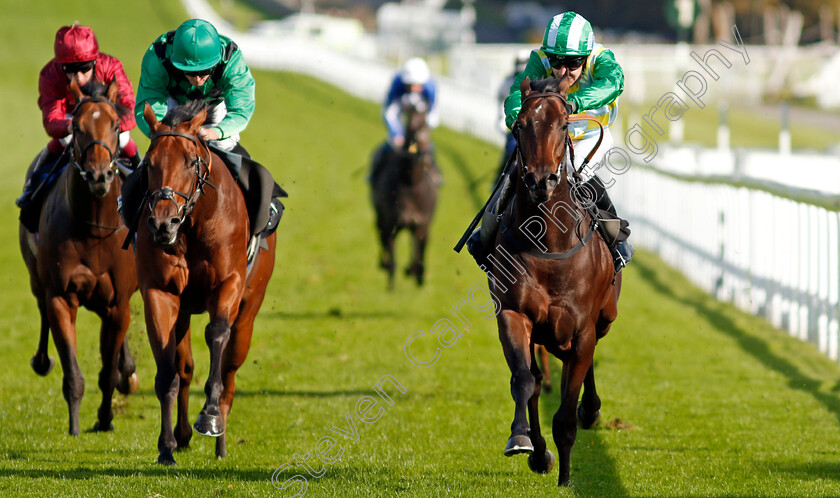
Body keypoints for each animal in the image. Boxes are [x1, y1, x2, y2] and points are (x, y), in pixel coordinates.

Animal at [18, 79, 139, 436]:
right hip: (36, 278)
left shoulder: (118, 303)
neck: (95, 229)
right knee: (41, 306)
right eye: (77, 127)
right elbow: (73, 374)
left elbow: (108, 372)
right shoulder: (61, 296)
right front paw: (74, 426)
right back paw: (42, 360)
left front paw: (105, 418)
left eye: (115, 126)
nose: (99, 176)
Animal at [137, 99, 276, 464]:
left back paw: (220, 441)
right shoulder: (160, 293)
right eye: (150, 163)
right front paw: (166, 447)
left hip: (248, 311)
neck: (194, 224)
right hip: (185, 311)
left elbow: (216, 335)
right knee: (185, 367)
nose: (163, 223)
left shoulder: (228, 284)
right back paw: (182, 436)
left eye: (190, 161)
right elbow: (168, 371)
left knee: (229, 371)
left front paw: (209, 416)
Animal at [372, 92, 440, 290]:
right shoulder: (391, 224)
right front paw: (391, 285)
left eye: (426, 124)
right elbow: (393, 257)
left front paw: (417, 277)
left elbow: (420, 254)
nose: (424, 154)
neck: (411, 184)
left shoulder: (423, 224)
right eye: (412, 126)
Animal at [488, 75, 620, 486]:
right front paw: (526, 444)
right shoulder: (513, 314)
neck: (547, 240)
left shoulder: (581, 330)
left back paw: (590, 409)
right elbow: (524, 381)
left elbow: (564, 416)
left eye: (564, 124)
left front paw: (565, 478)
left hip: (604, 318)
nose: (540, 180)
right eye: (519, 125)